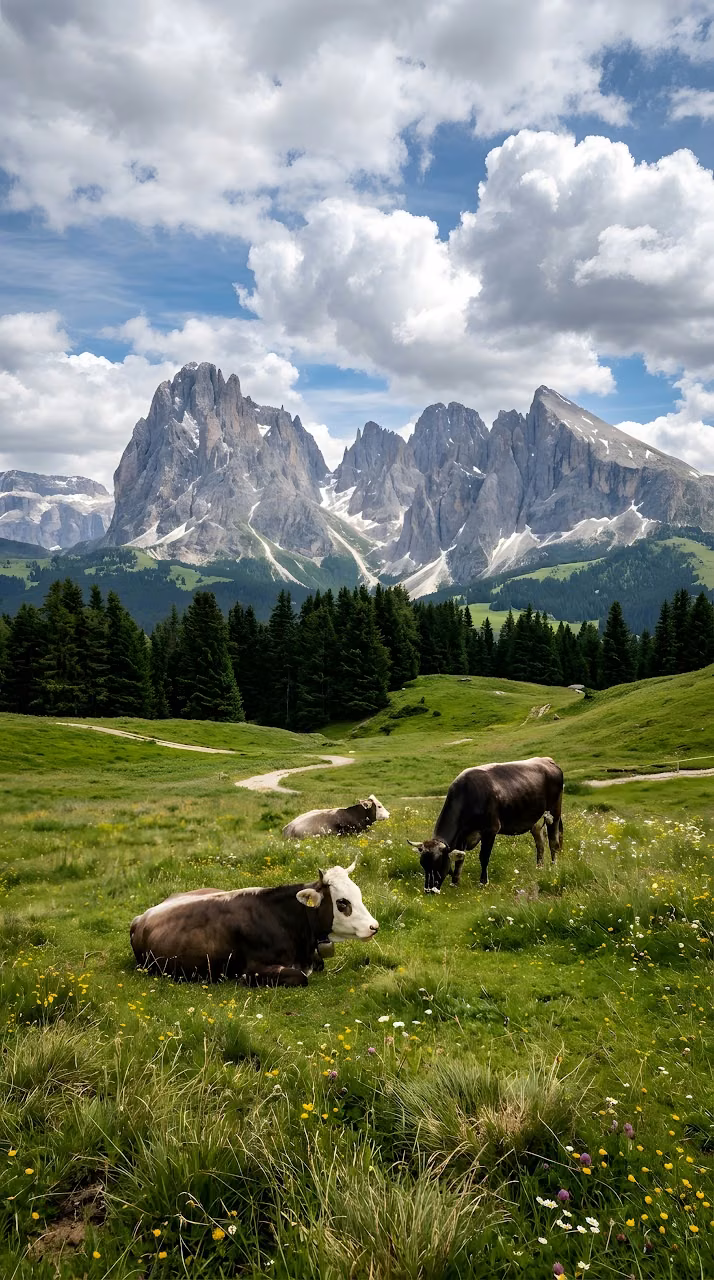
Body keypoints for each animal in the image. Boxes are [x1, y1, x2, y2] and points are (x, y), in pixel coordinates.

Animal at [129, 861, 379, 986]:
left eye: (358, 894)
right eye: (342, 902)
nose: (374, 926)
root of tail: (141, 917)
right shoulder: (254, 969)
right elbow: (301, 977)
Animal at [407, 756, 564, 891]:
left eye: (439, 863)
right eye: (423, 864)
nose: (429, 890)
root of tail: (547, 760)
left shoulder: (490, 830)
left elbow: (484, 857)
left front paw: (483, 882)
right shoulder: (462, 835)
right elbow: (460, 859)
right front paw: (455, 882)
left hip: (554, 812)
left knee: (553, 842)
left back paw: (553, 867)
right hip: (535, 820)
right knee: (540, 842)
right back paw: (539, 867)